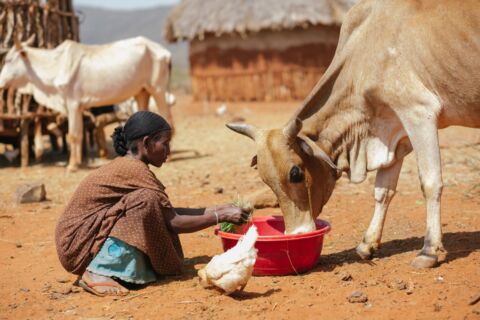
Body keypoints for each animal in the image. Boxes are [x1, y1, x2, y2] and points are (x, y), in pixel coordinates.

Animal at [0, 36, 175, 171]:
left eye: (8, 60)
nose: (1, 82)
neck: (55, 66)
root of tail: (164, 52)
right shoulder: (77, 107)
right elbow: (77, 133)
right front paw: (78, 161)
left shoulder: (72, 104)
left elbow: (73, 135)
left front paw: (72, 165)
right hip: (142, 91)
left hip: (158, 89)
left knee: (166, 116)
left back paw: (170, 155)